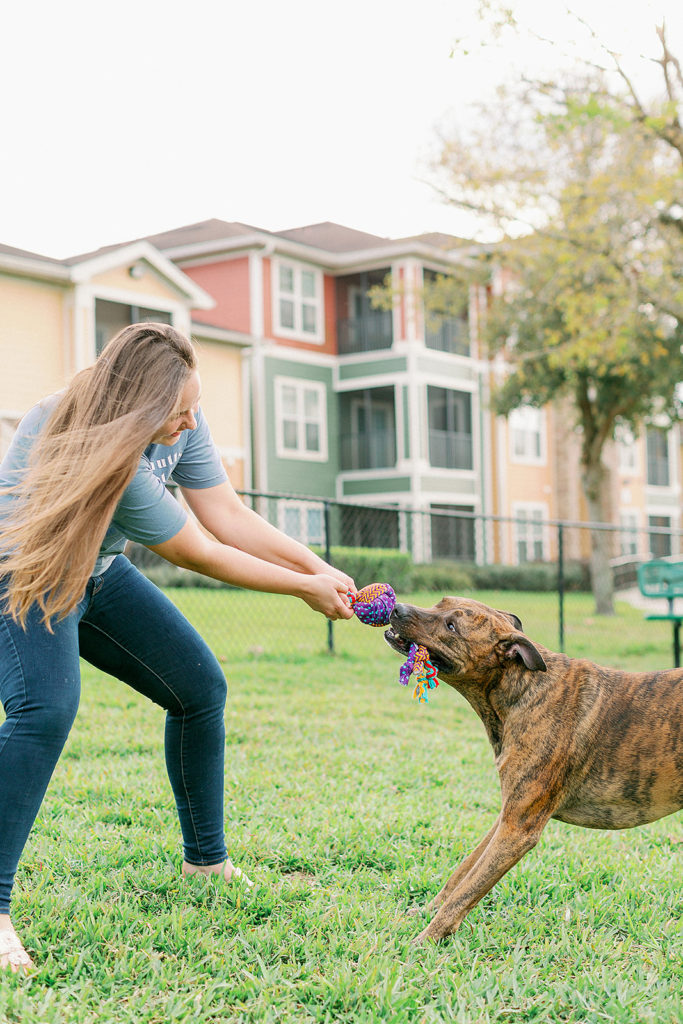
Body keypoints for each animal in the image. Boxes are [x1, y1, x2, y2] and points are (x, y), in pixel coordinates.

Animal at [385, 598, 683, 942]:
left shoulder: (518, 830)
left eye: (451, 626)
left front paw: (426, 940)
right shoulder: (507, 817)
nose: (397, 608)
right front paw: (424, 912)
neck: (523, 687)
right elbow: (463, 872)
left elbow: (467, 890)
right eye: (440, 603)